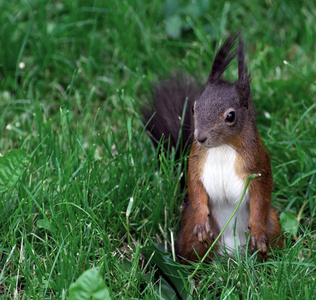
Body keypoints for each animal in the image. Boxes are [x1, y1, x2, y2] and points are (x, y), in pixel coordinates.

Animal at [143, 33, 284, 262]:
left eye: (230, 116)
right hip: (189, 231)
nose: (200, 137)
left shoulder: (258, 163)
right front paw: (202, 221)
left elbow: (261, 197)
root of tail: (231, 256)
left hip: (272, 223)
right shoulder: (195, 162)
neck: (223, 147)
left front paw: (257, 232)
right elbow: (195, 187)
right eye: (194, 107)